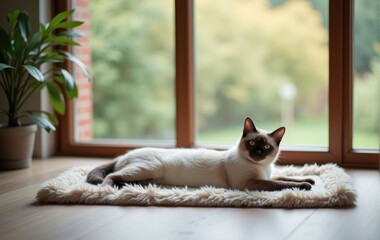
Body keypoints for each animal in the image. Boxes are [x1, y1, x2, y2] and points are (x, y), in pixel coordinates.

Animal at [87, 117, 314, 192]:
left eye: (266, 147)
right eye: (251, 143)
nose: (257, 153)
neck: (262, 167)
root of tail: (125, 153)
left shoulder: (265, 176)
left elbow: (286, 178)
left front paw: (310, 180)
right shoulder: (250, 183)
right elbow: (280, 184)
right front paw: (306, 186)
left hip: (149, 175)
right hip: (149, 168)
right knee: (111, 175)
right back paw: (108, 190)